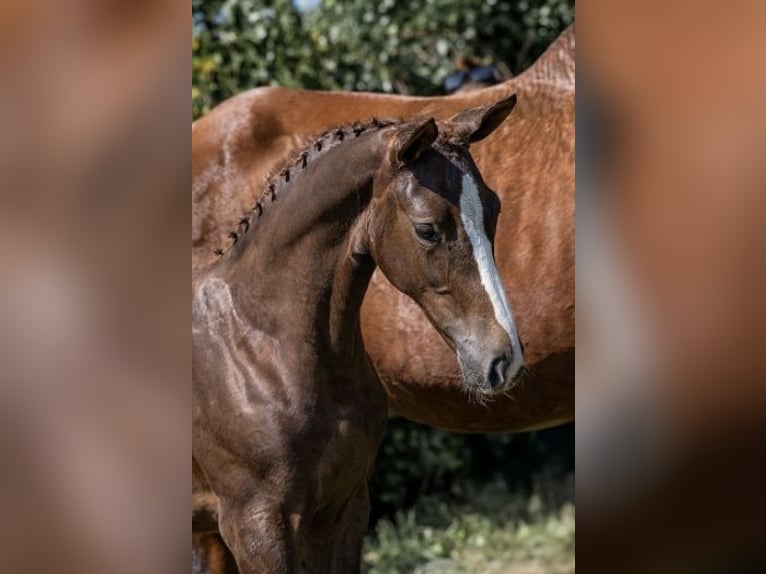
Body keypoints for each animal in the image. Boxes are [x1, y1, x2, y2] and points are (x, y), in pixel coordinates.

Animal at [192, 97, 521, 573]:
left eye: (493, 210)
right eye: (427, 228)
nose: (503, 358)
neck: (260, 344)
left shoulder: (345, 508)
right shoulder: (255, 525)